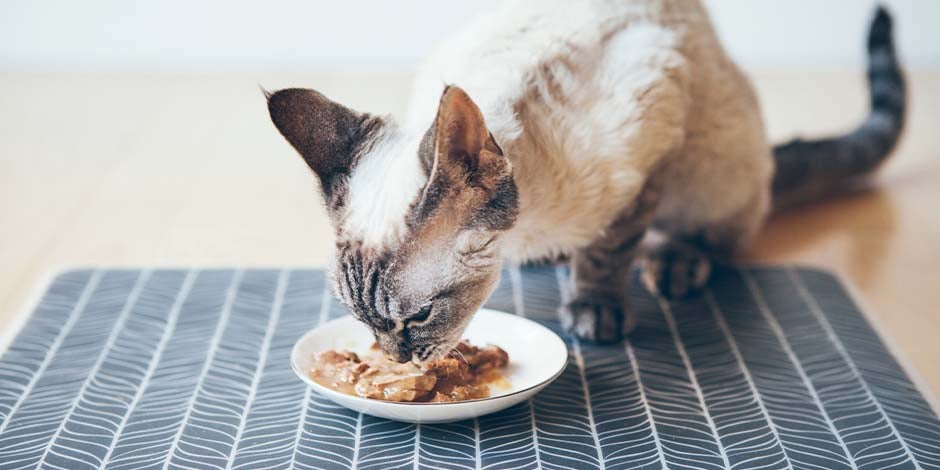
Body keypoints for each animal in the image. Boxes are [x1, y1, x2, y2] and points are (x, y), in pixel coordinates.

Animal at [264, 0, 904, 362]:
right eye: (361, 320)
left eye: (416, 319)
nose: (397, 359)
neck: (522, 232)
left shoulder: (649, 151)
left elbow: (609, 249)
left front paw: (595, 307)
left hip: (712, 171)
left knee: (717, 234)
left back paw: (675, 262)